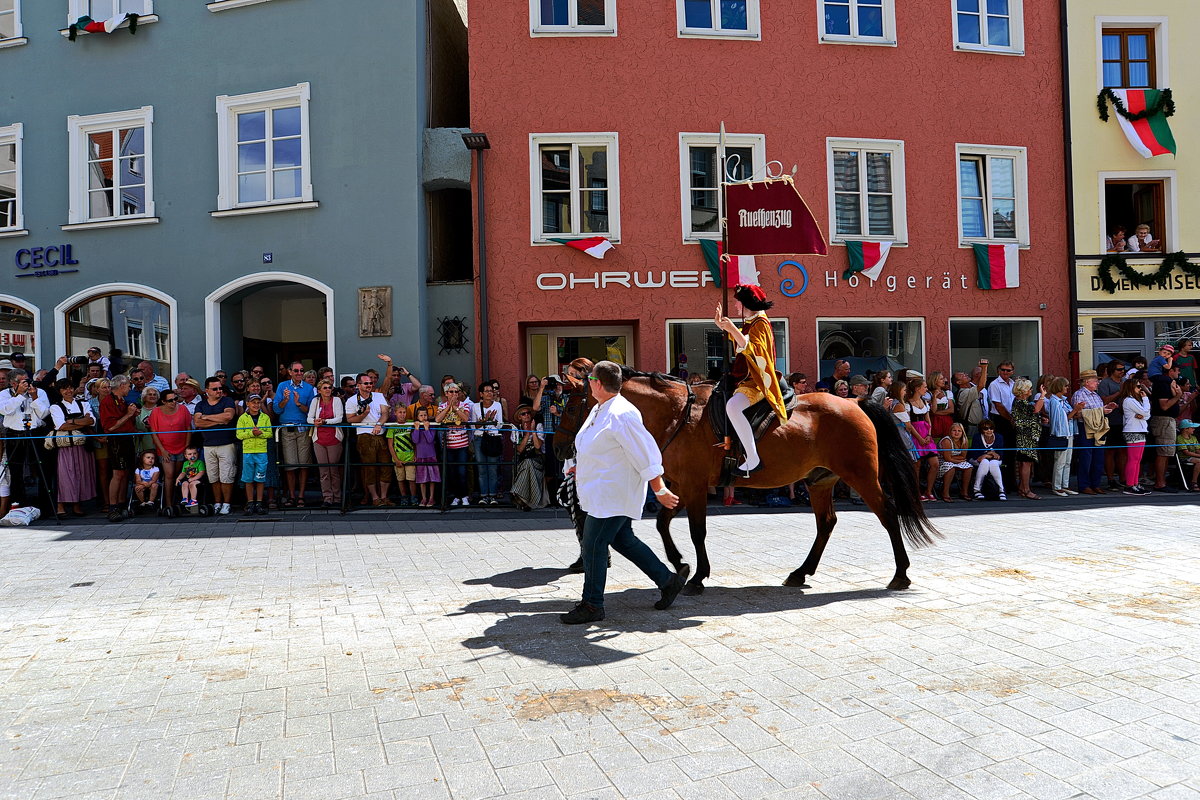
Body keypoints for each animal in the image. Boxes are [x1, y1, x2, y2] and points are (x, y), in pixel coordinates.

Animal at [552, 369, 936, 594]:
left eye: (571, 407)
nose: (560, 448)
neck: (678, 414)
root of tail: (854, 401)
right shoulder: (680, 485)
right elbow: (662, 524)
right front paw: (680, 564)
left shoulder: (693, 486)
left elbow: (697, 531)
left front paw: (697, 576)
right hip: (820, 481)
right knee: (826, 523)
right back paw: (801, 572)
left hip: (861, 475)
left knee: (888, 514)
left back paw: (901, 573)